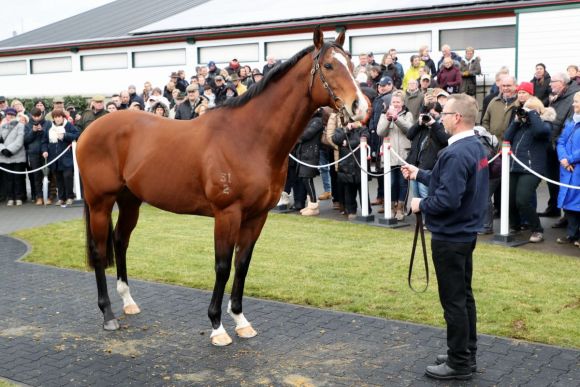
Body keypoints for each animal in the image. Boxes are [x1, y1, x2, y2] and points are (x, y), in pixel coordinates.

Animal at [77, 28, 368, 348]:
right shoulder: (227, 214)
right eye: (329, 66)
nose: (360, 107)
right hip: (100, 202)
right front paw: (217, 327)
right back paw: (108, 314)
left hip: (130, 200)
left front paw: (241, 321)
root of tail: (90, 129)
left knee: (120, 241)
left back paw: (128, 302)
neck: (248, 137)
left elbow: (242, 264)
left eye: (351, 64)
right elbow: (223, 265)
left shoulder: (257, 216)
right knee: (100, 250)